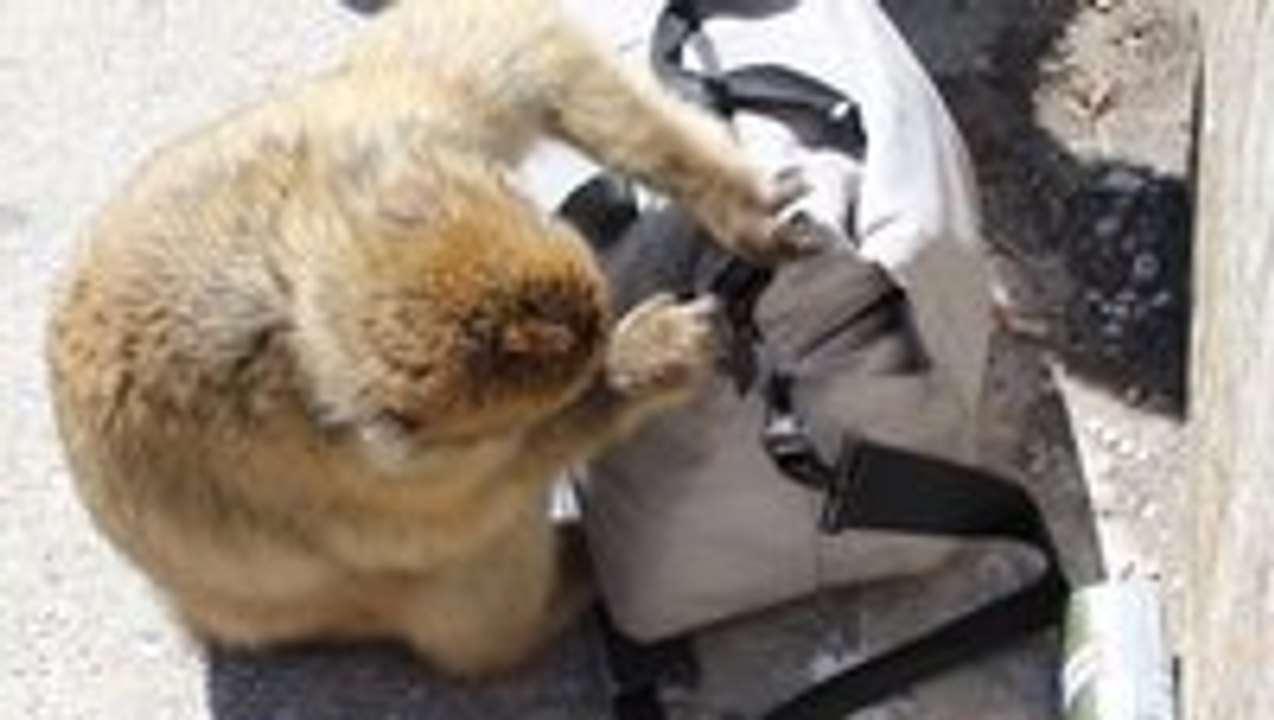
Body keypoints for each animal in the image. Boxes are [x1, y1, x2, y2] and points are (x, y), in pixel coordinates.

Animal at [46, 0, 806, 678]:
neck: (289, 303)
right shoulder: (349, 466)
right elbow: (459, 513)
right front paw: (645, 360)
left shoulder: (402, 123)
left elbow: (516, 48)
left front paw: (738, 203)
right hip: (334, 602)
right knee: (476, 606)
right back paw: (570, 581)